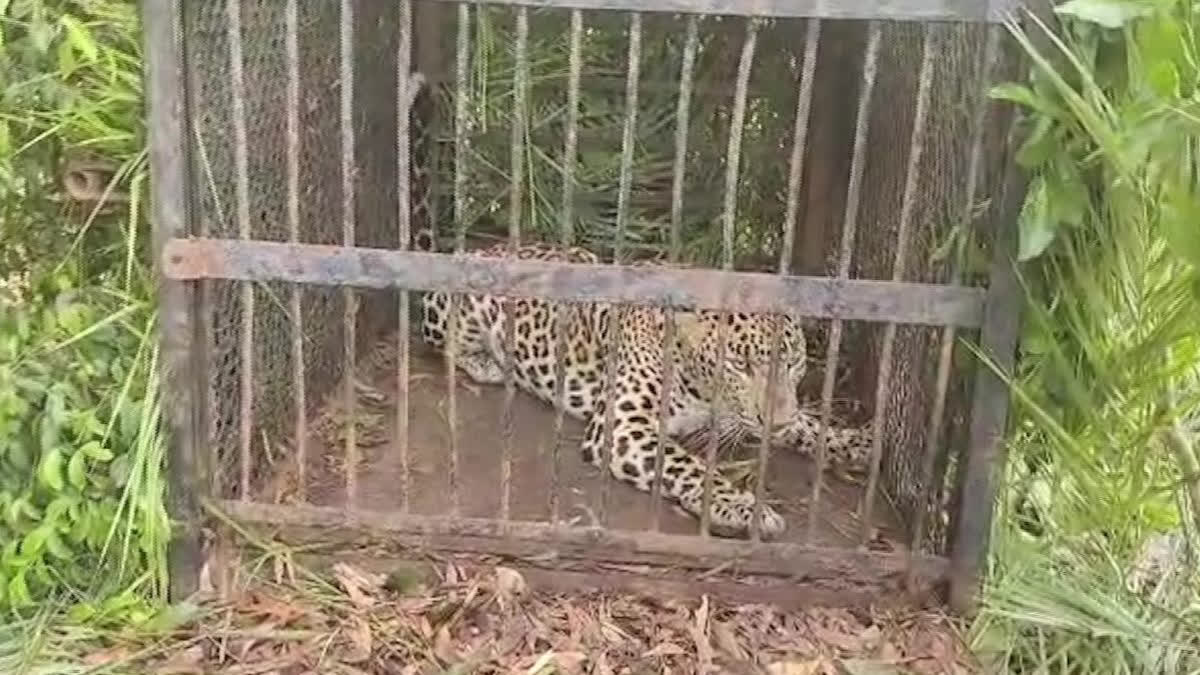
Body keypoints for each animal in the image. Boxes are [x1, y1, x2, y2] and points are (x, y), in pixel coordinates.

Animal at [422, 239, 873, 538]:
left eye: (793, 361)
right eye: (740, 365)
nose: (775, 423)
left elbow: (809, 427)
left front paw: (859, 443)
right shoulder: (623, 426)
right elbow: (688, 466)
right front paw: (742, 508)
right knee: (447, 347)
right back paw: (492, 365)